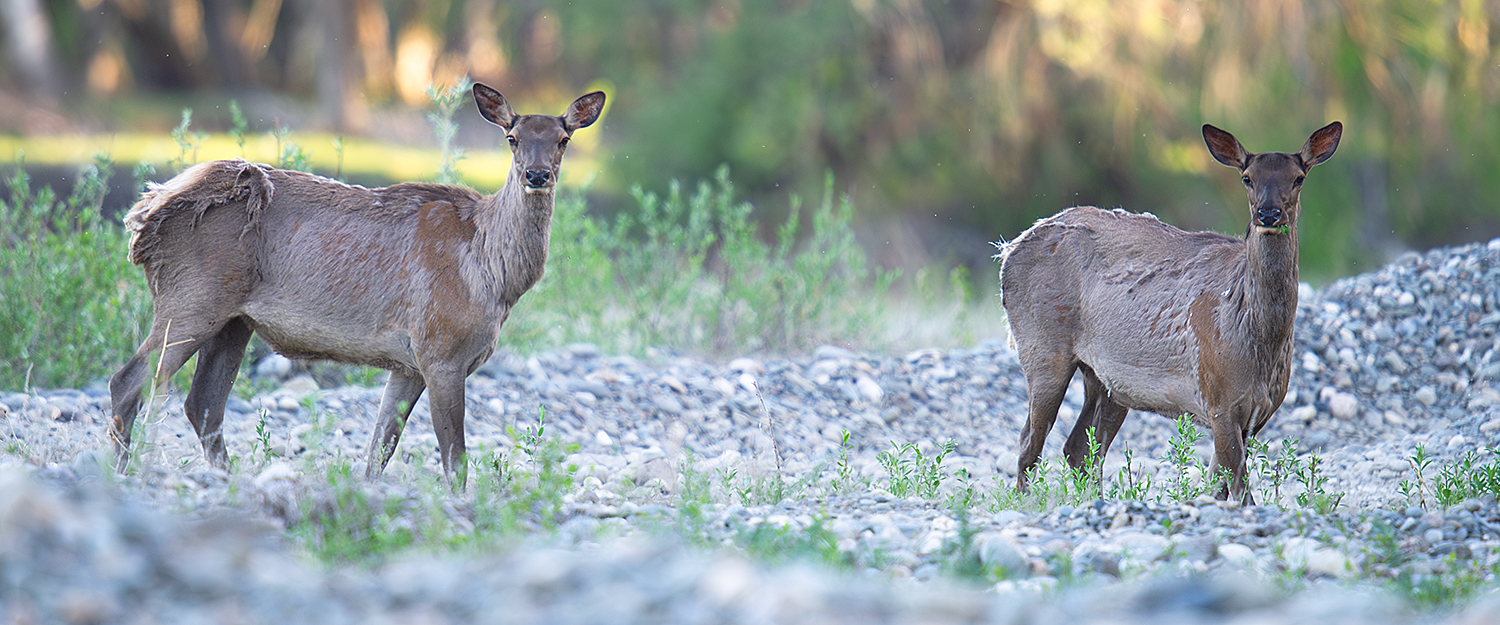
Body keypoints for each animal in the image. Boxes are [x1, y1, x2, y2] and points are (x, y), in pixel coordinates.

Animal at [108, 83, 606, 482]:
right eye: (512, 138)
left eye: (563, 139)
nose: (537, 175)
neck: (493, 278)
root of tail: (144, 216)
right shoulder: (442, 351)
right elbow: (454, 460)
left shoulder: (408, 363)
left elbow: (379, 451)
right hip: (192, 298)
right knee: (129, 381)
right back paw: (121, 472)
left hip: (234, 320)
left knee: (203, 404)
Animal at [1002, 120, 1344, 500]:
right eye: (1247, 177)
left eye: (1298, 177)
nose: (1268, 213)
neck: (1258, 341)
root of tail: (1010, 250)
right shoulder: (1218, 398)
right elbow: (1240, 489)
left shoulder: (1259, 413)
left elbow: (1221, 484)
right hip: (1043, 347)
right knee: (1029, 442)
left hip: (1107, 380)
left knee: (1079, 448)